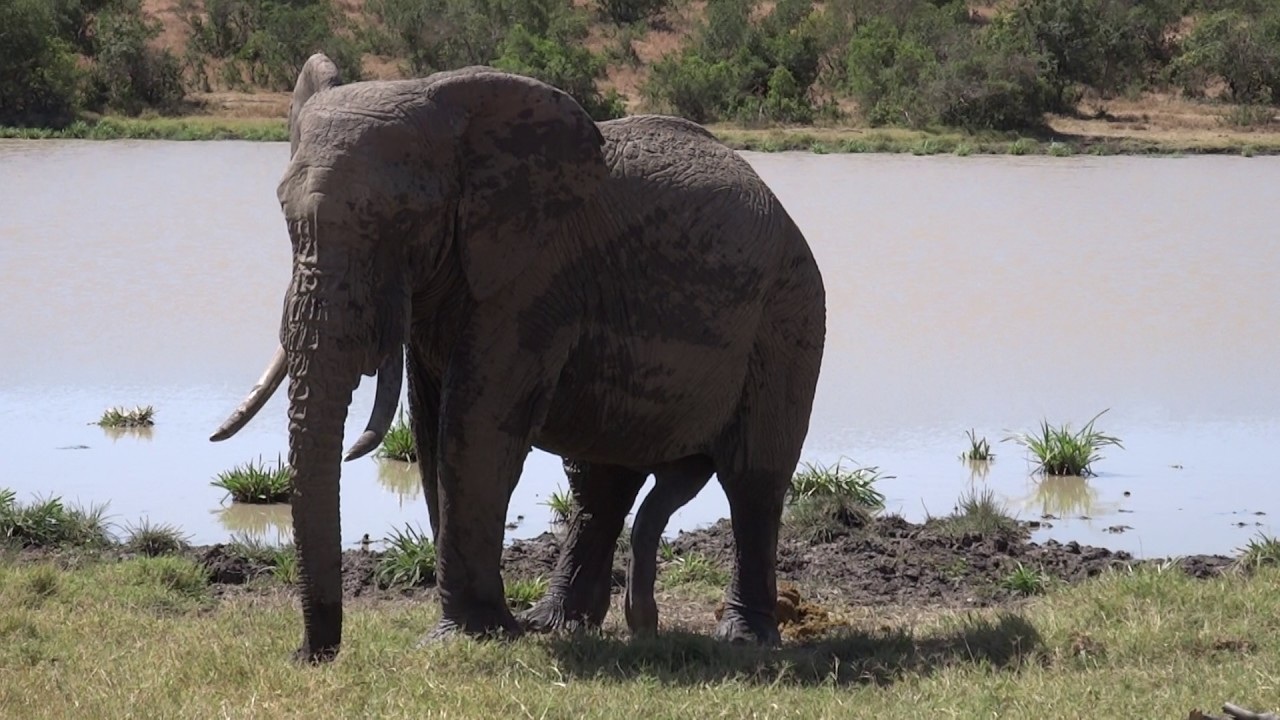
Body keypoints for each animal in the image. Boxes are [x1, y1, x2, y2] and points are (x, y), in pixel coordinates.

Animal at [210, 52, 826, 663]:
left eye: (404, 220)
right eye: (286, 219)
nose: (311, 656)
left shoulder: (535, 277)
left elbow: (475, 430)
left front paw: (467, 635)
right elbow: (432, 432)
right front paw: (484, 630)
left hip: (787, 316)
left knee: (753, 479)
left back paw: (743, 638)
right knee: (599, 481)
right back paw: (557, 624)